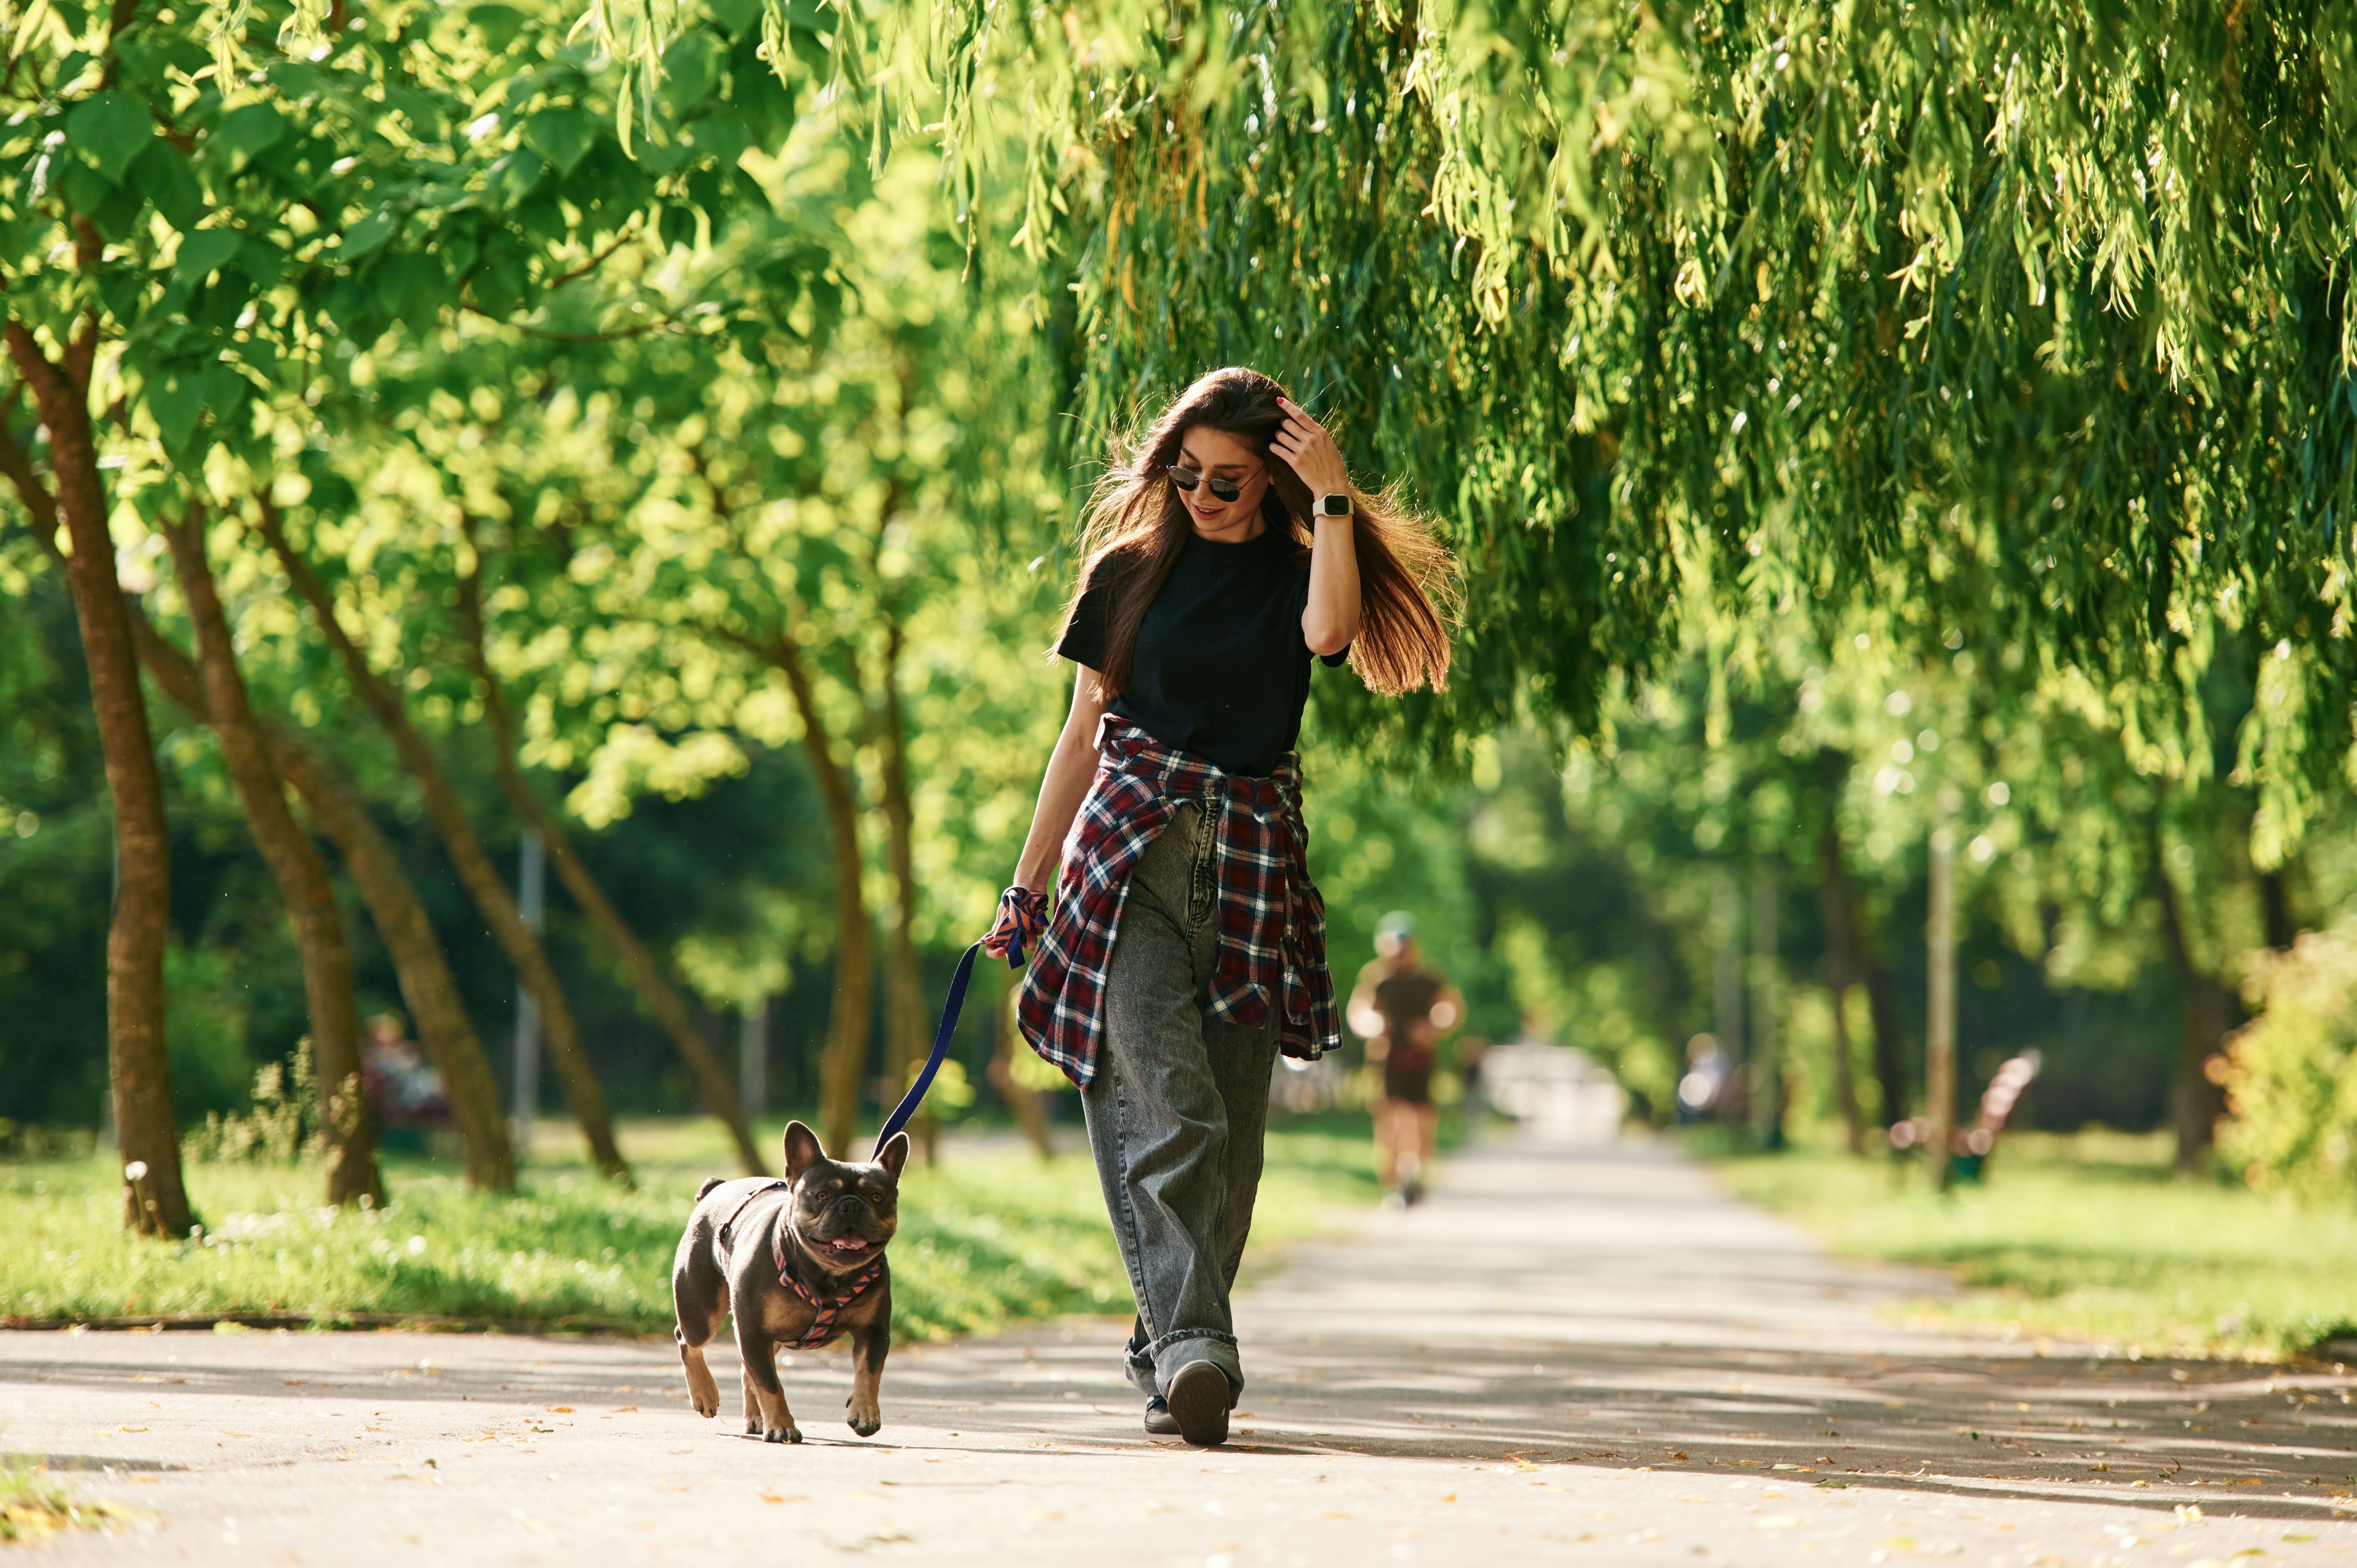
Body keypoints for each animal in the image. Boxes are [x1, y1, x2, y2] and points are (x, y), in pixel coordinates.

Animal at [679, 1113, 914, 1443]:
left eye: (878, 1197)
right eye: (822, 1195)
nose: (852, 1204)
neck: (828, 1276)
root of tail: (716, 1189)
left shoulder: (875, 1332)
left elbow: (869, 1373)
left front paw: (866, 1413)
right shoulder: (753, 1332)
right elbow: (770, 1384)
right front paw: (782, 1426)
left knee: (746, 1370)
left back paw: (755, 1418)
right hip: (701, 1314)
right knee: (688, 1341)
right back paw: (705, 1394)